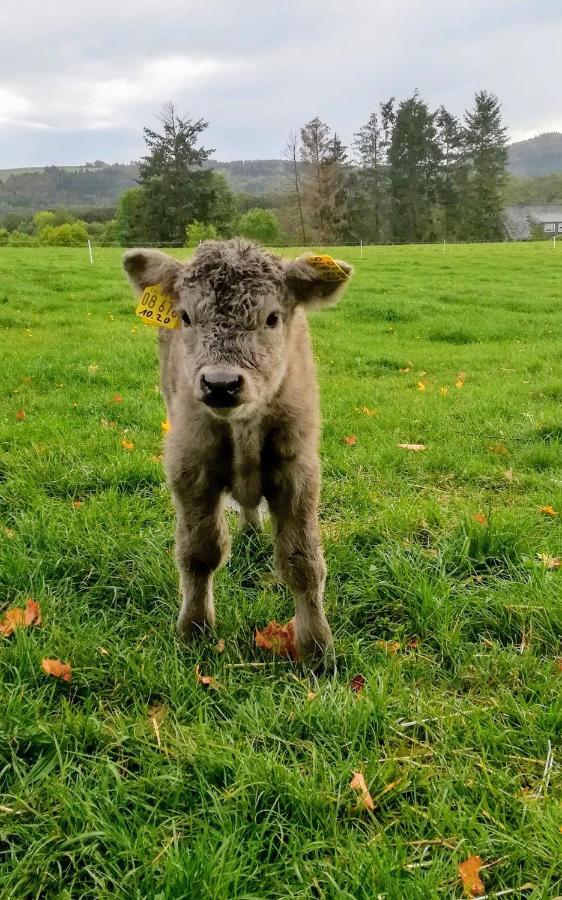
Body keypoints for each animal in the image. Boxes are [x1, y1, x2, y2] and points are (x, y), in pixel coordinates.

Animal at [123, 239, 350, 660]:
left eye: (272, 318)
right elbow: (199, 553)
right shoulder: (188, 468)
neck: (243, 428)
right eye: (186, 317)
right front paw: (195, 628)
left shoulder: (299, 472)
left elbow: (303, 562)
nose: (221, 384)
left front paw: (316, 647)